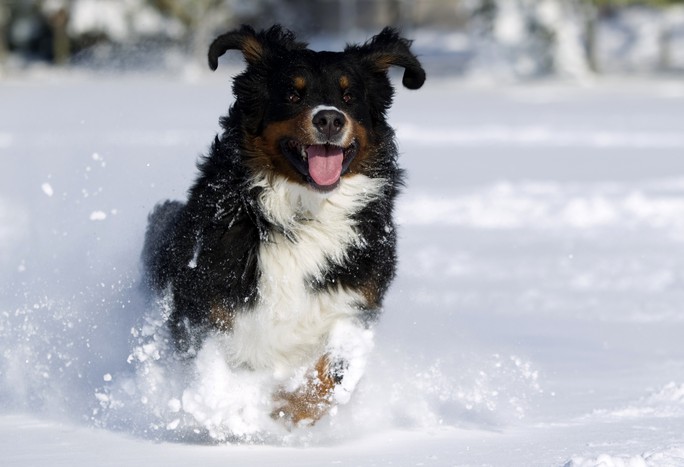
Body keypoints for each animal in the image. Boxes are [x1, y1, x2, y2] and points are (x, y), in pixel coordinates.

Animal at [142, 24, 424, 428]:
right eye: (293, 93)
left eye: (349, 95)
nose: (330, 119)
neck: (304, 213)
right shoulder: (205, 300)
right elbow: (209, 365)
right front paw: (228, 410)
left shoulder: (355, 300)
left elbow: (333, 372)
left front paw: (285, 407)